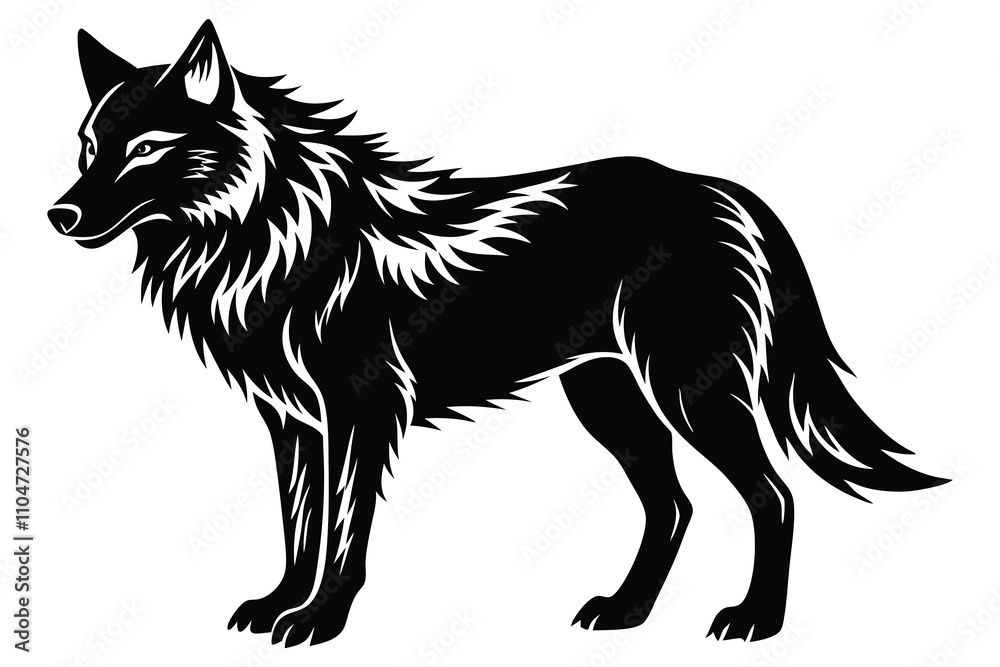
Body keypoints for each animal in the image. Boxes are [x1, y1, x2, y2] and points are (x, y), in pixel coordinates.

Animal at [49, 20, 945, 647]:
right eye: (89, 147)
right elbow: (297, 527)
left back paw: (756, 620)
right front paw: (279, 603)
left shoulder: (359, 414)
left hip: (690, 395)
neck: (267, 233)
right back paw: (625, 611)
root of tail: (721, 189)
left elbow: (342, 532)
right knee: (674, 506)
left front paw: (319, 620)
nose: (60, 214)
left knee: (773, 495)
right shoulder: (292, 423)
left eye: (146, 149)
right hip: (609, 402)